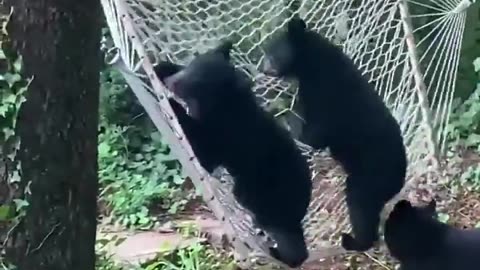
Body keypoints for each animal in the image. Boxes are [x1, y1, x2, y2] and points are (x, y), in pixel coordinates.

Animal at [159, 41, 314, 266]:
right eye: (192, 65)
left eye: (198, 83)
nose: (172, 83)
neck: (227, 104)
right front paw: (161, 67)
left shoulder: (224, 137)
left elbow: (203, 151)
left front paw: (173, 105)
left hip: (263, 195)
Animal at [260, 17, 406, 253]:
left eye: (272, 54)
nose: (264, 70)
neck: (313, 63)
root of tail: (399, 179)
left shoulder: (327, 96)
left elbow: (314, 135)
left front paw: (287, 120)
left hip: (370, 176)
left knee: (360, 205)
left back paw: (354, 241)